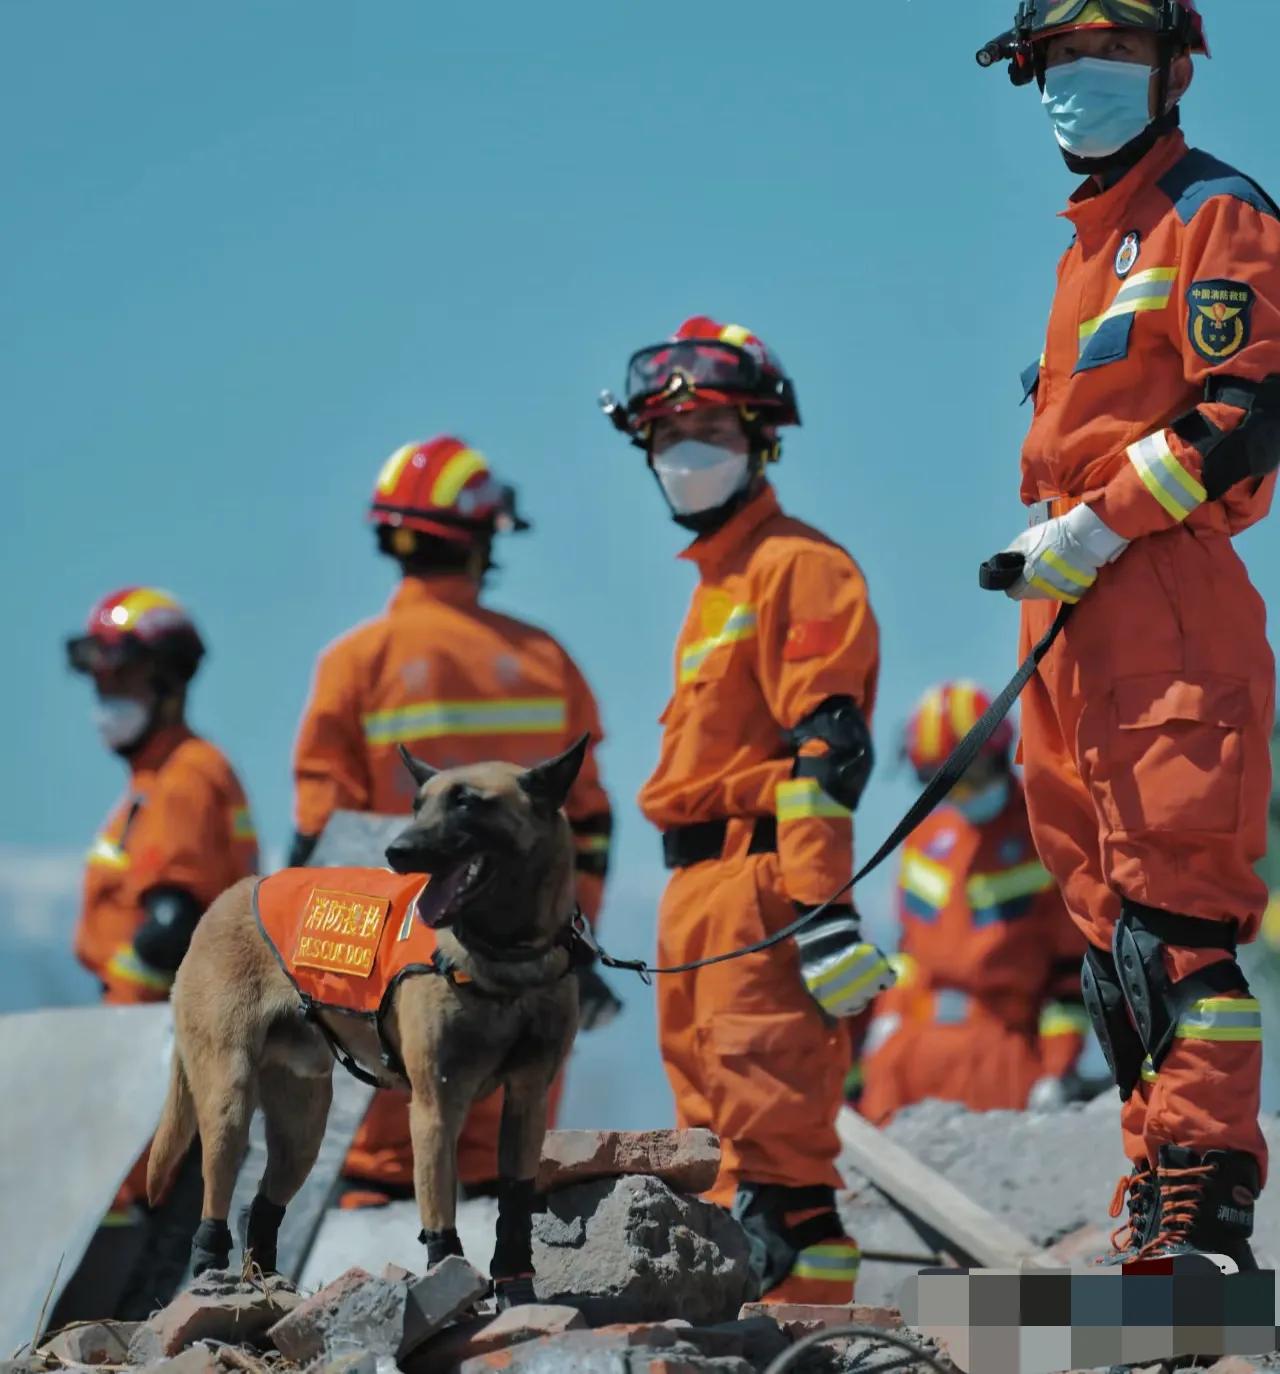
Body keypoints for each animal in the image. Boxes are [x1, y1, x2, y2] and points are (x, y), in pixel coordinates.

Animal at [149, 730, 590, 1297]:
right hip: (230, 1100)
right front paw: (450, 1281)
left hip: (304, 1126)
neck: (503, 958)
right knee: (217, 1199)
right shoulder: (435, 1108)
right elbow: (440, 1220)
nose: (396, 851)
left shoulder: (527, 1102)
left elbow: (513, 1208)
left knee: (262, 1205)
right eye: (418, 804)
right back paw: (211, 1273)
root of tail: (225, 899)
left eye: (467, 802)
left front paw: (517, 1292)